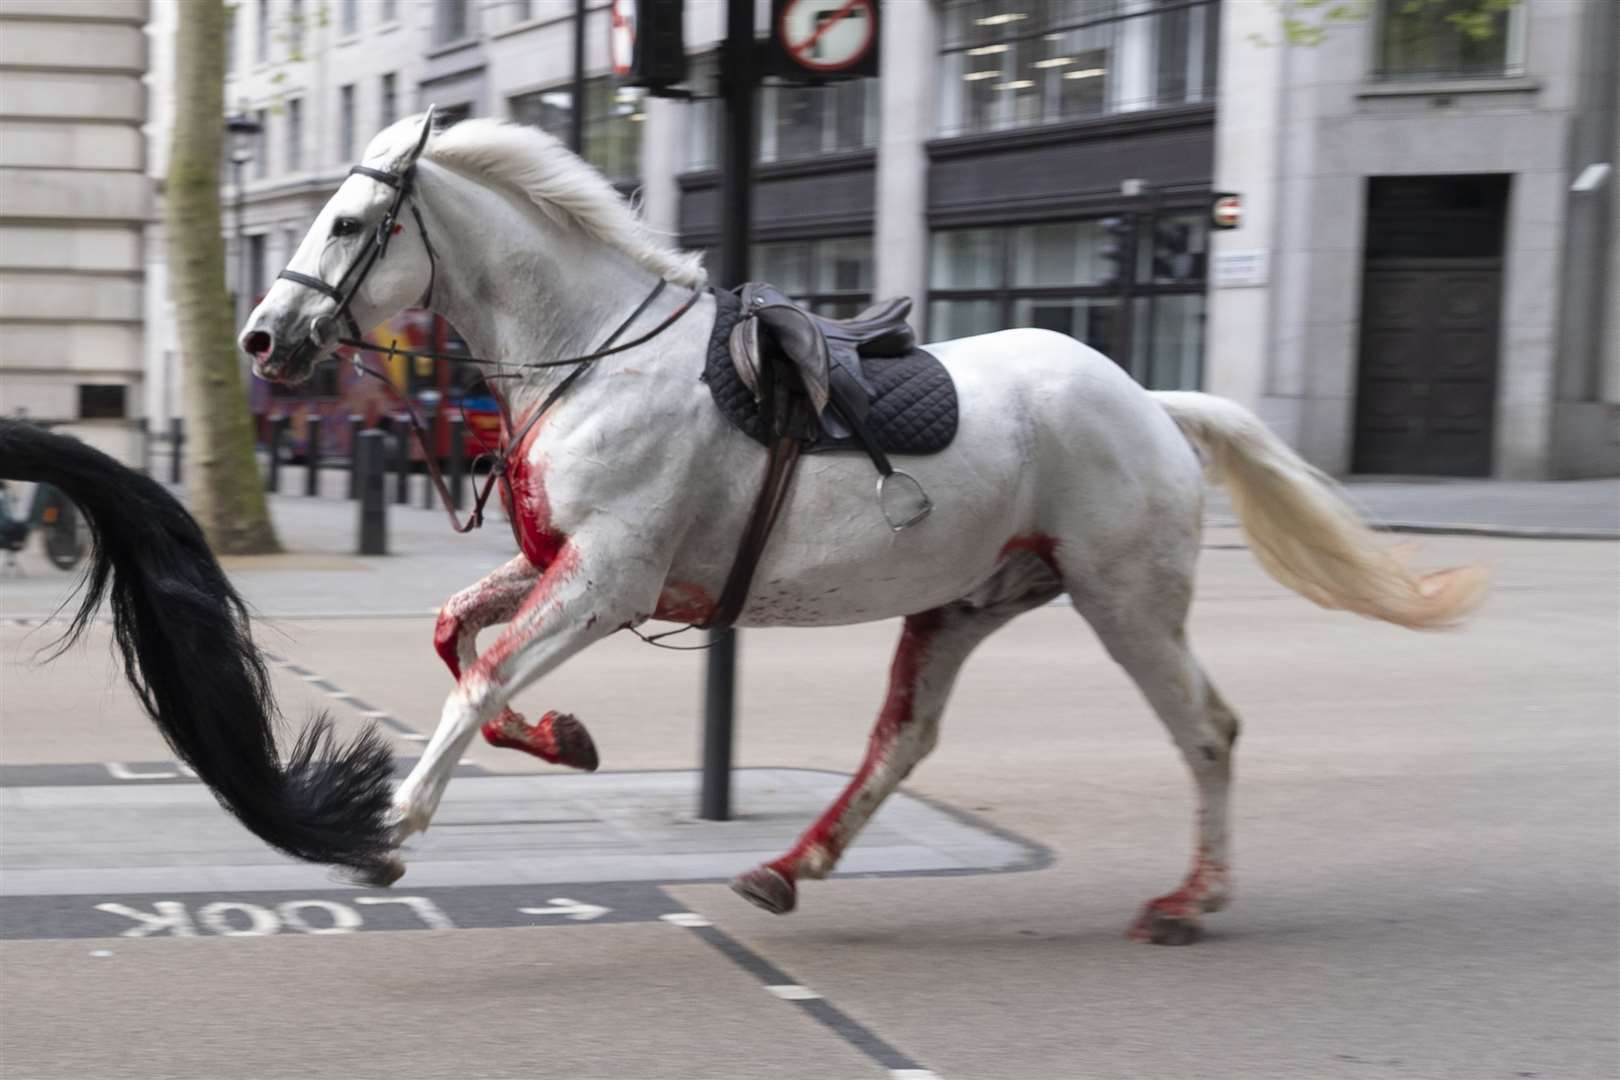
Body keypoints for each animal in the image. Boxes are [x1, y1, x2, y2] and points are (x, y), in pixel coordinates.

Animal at [234, 114, 1483, 945]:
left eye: (351, 222)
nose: (260, 338)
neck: (594, 358)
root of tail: (1150, 401)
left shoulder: (607, 579)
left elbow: (481, 675)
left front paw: (392, 827)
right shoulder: (564, 565)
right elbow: (457, 635)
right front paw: (562, 738)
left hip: (1125, 599)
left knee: (1208, 731)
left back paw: (1191, 898)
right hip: (966, 602)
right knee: (904, 740)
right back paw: (794, 865)